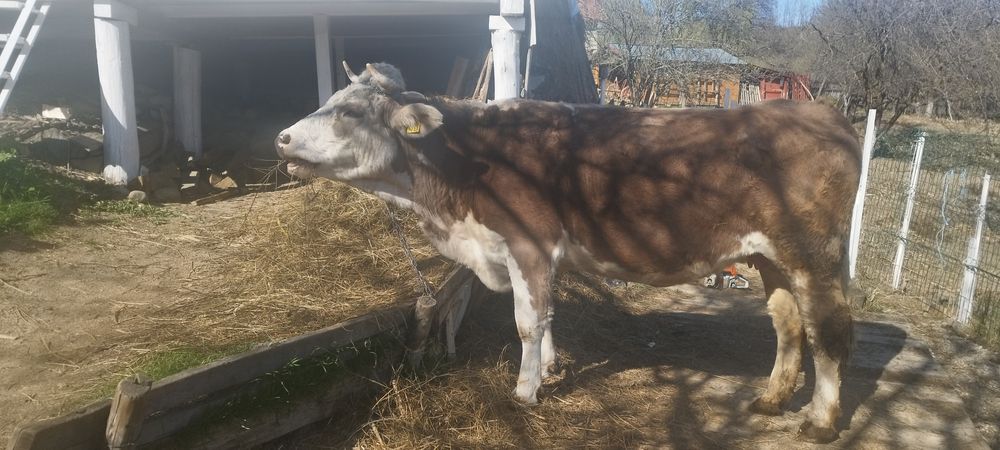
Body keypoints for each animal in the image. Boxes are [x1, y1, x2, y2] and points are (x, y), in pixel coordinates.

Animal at [275, 62, 858, 443]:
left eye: (350, 110)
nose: (281, 139)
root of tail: (824, 112)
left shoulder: (527, 243)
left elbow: (527, 321)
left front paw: (525, 391)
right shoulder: (535, 256)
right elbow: (548, 314)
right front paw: (551, 368)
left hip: (813, 252)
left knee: (829, 329)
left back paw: (820, 421)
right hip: (770, 258)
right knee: (788, 323)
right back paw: (771, 399)